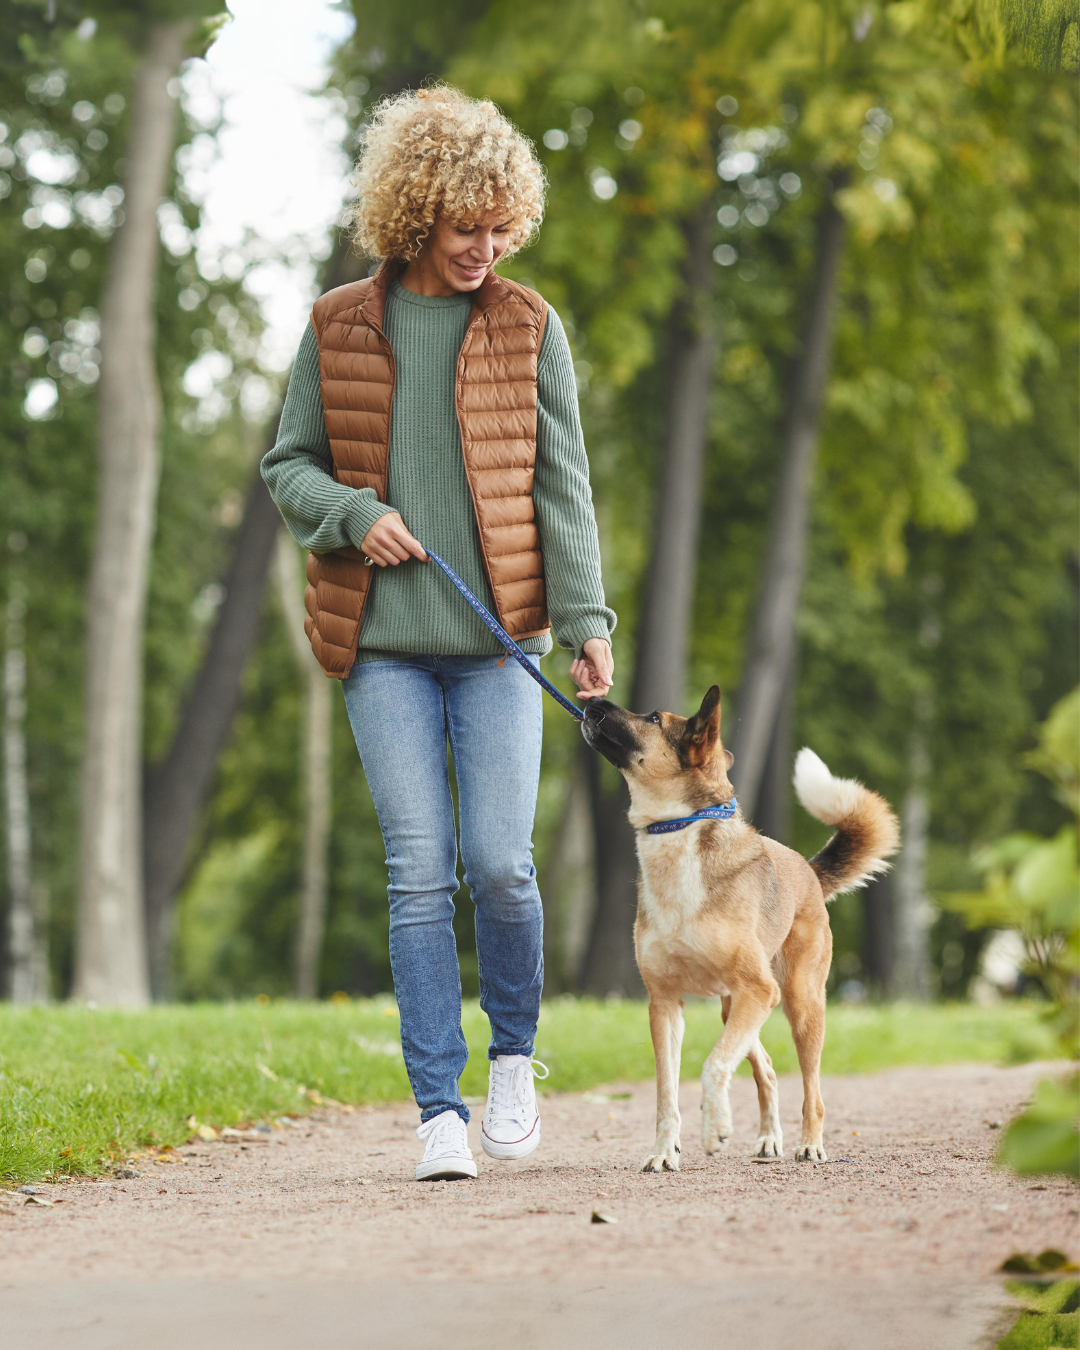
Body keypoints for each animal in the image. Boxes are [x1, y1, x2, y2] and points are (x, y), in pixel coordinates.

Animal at [577, 685, 896, 1171]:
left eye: (653, 718)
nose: (590, 700)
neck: (678, 833)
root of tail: (808, 870)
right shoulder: (665, 1005)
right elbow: (667, 1090)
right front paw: (664, 1152)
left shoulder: (758, 991)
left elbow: (712, 1065)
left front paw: (715, 1129)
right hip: (736, 1006)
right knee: (766, 1069)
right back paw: (768, 1139)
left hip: (797, 1001)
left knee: (812, 1089)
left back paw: (809, 1145)